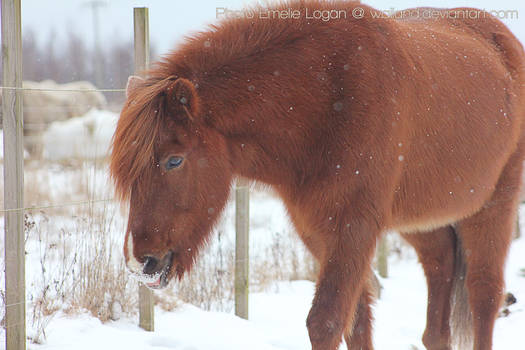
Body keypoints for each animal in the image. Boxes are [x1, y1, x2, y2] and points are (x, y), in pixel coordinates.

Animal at [109, 1, 524, 348]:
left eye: (174, 161)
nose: (140, 262)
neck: (328, 97)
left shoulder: (353, 230)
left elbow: (325, 322)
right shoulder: (319, 233)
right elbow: (356, 323)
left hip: (493, 208)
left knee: (484, 296)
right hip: (422, 221)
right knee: (440, 288)